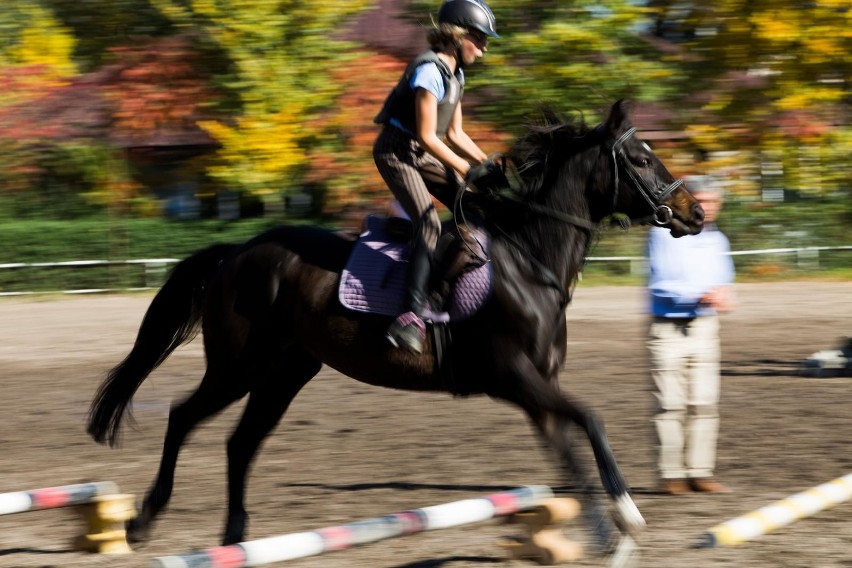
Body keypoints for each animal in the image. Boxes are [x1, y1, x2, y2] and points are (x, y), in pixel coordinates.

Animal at [88, 100, 704, 556]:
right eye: (641, 159)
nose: (695, 213)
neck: (532, 263)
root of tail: (237, 251)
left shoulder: (536, 391)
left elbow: (568, 454)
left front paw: (606, 532)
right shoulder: (513, 376)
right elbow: (591, 422)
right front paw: (626, 513)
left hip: (285, 372)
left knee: (241, 443)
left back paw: (235, 537)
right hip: (238, 366)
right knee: (183, 417)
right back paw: (144, 520)